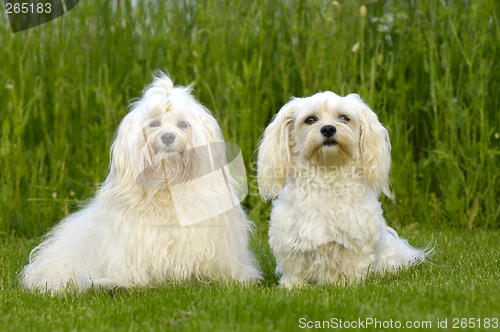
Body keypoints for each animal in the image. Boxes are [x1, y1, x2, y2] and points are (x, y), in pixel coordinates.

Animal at [258, 91, 430, 288]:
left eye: (344, 118)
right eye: (310, 119)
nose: (328, 129)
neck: (327, 177)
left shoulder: (357, 244)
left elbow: (352, 269)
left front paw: (347, 285)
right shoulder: (291, 244)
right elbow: (295, 270)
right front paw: (293, 287)